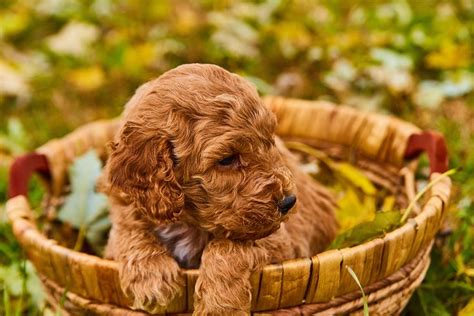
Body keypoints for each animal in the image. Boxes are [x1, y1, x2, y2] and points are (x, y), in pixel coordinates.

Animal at [102, 64, 336, 314]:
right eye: (227, 159)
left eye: (269, 141)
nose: (289, 201)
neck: (188, 219)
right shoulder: (125, 206)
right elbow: (128, 231)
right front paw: (151, 275)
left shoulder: (283, 242)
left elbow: (227, 246)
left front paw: (220, 305)